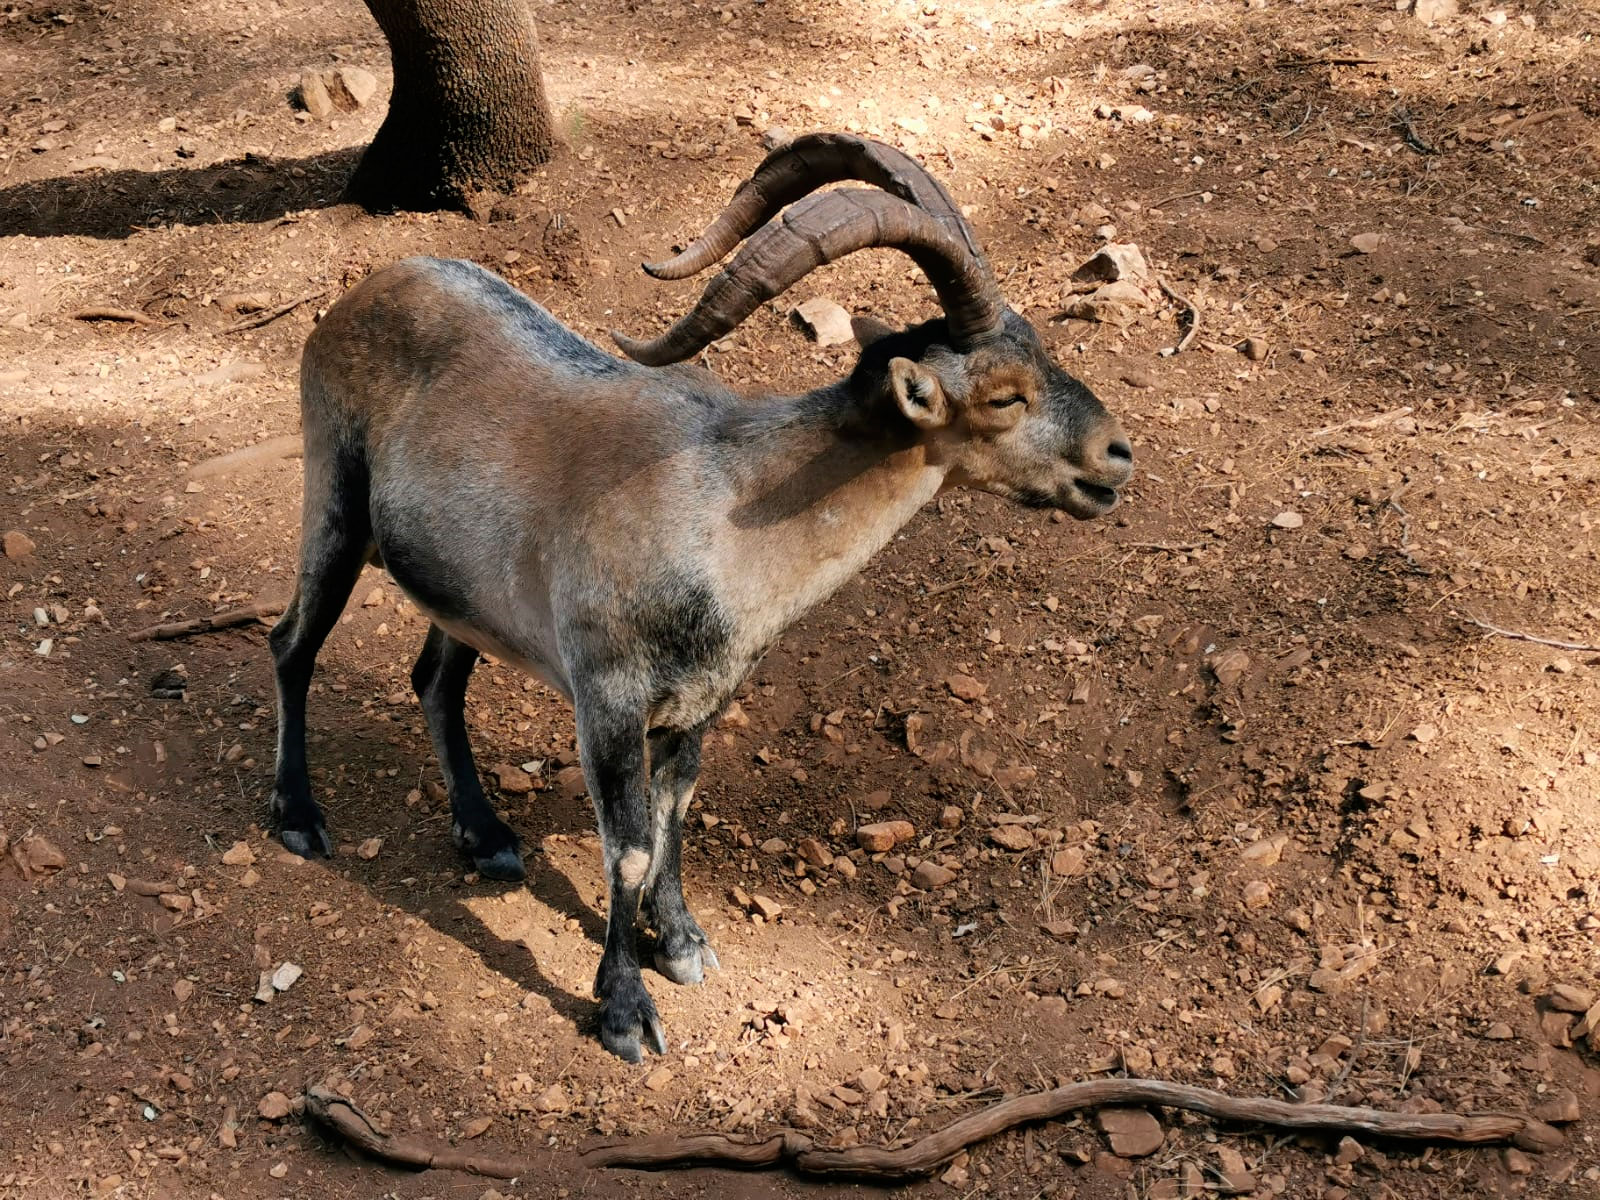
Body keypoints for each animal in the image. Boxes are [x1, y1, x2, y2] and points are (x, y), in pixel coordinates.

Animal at [268, 136, 1132, 1068]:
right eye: (1005, 395)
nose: (1116, 456)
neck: (726, 507)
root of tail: (364, 290)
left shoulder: (700, 701)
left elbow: (676, 811)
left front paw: (681, 943)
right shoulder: (607, 696)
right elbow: (628, 847)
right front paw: (624, 1011)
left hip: (463, 589)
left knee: (434, 678)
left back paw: (487, 835)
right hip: (333, 497)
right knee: (292, 643)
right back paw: (299, 817)